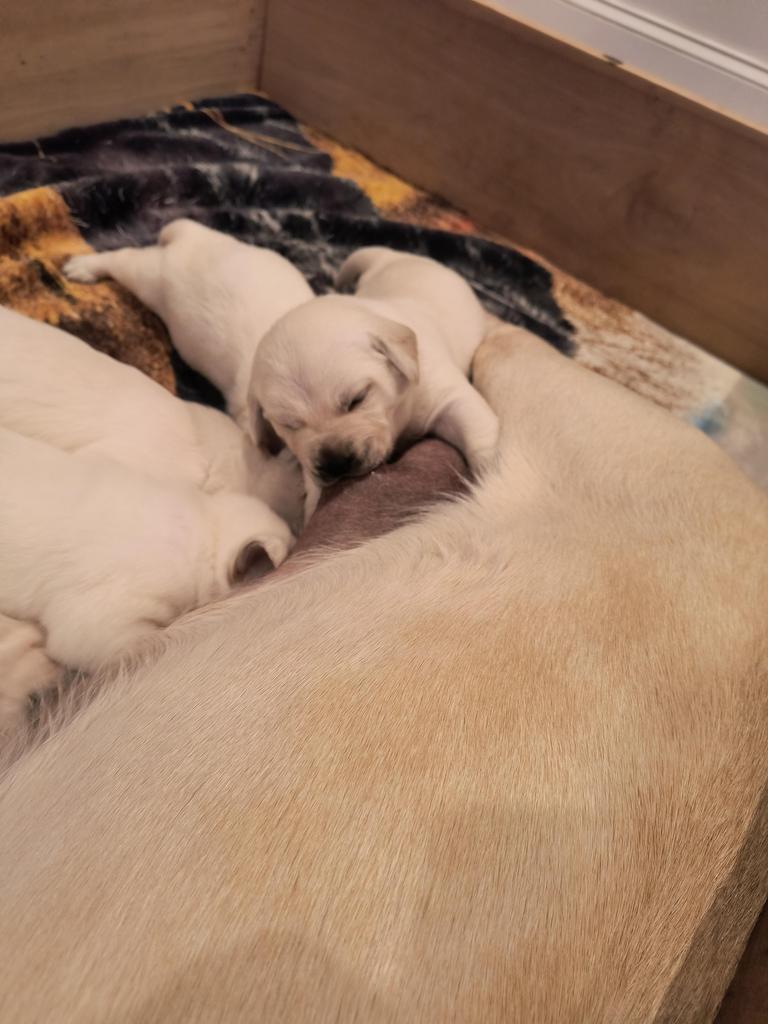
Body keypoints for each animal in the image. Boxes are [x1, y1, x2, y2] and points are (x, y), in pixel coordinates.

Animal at [248, 246, 499, 517]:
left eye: (357, 399)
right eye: (289, 424)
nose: (335, 463)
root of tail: (392, 256)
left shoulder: (446, 393)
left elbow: (477, 430)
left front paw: (491, 481)